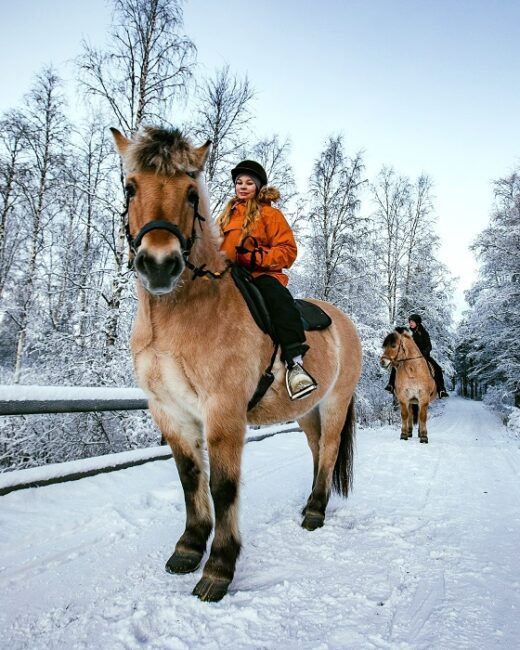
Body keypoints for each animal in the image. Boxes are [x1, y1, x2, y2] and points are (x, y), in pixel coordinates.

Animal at [110, 124, 362, 600]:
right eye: (130, 187)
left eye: (192, 193)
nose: (159, 265)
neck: (177, 318)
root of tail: (343, 319)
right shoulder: (170, 411)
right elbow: (190, 477)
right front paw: (189, 548)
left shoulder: (223, 411)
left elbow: (223, 486)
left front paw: (218, 568)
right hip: (306, 410)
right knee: (317, 448)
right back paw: (309, 502)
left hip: (335, 402)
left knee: (329, 449)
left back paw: (315, 512)